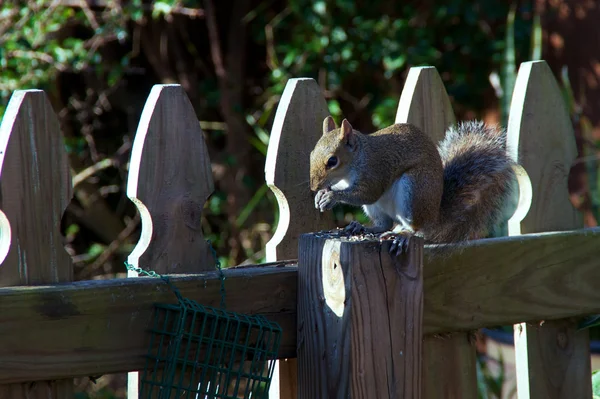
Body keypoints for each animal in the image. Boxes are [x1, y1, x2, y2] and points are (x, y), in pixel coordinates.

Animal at [310, 115, 516, 255]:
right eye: (311, 154)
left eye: (332, 161)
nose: (313, 187)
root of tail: (434, 215)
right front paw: (321, 195)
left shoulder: (375, 172)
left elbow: (367, 193)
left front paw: (331, 196)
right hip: (377, 208)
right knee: (384, 224)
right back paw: (361, 227)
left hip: (414, 191)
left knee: (417, 228)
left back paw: (403, 234)